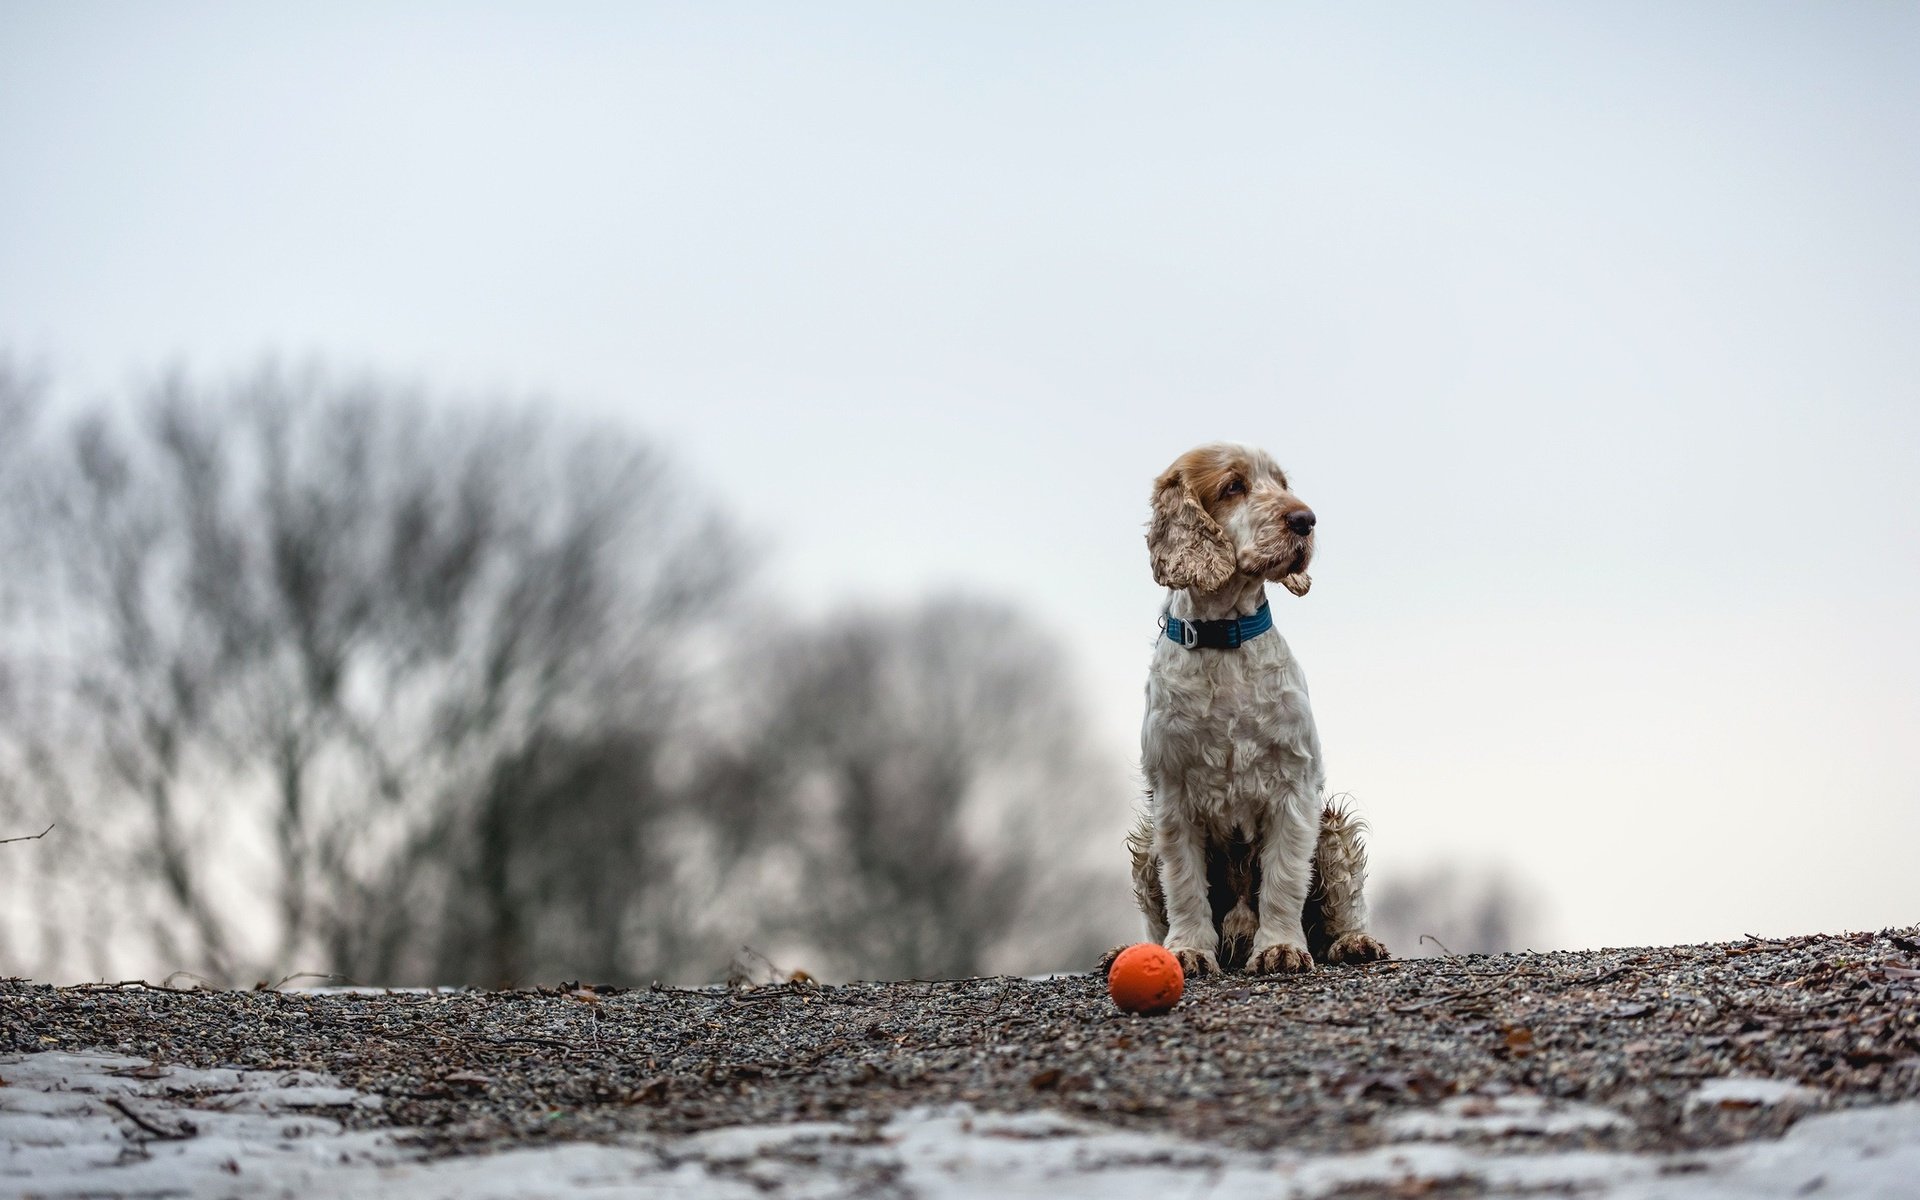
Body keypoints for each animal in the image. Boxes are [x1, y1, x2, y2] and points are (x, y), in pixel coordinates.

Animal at [1121, 439, 1390, 975]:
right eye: (1233, 486)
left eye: (1281, 484)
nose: (1305, 519)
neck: (1225, 640)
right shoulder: (1172, 796)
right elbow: (1184, 884)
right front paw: (1187, 950)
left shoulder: (1294, 788)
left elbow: (1283, 879)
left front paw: (1280, 948)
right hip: (1143, 846)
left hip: (1333, 830)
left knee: (1342, 910)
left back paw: (1353, 943)